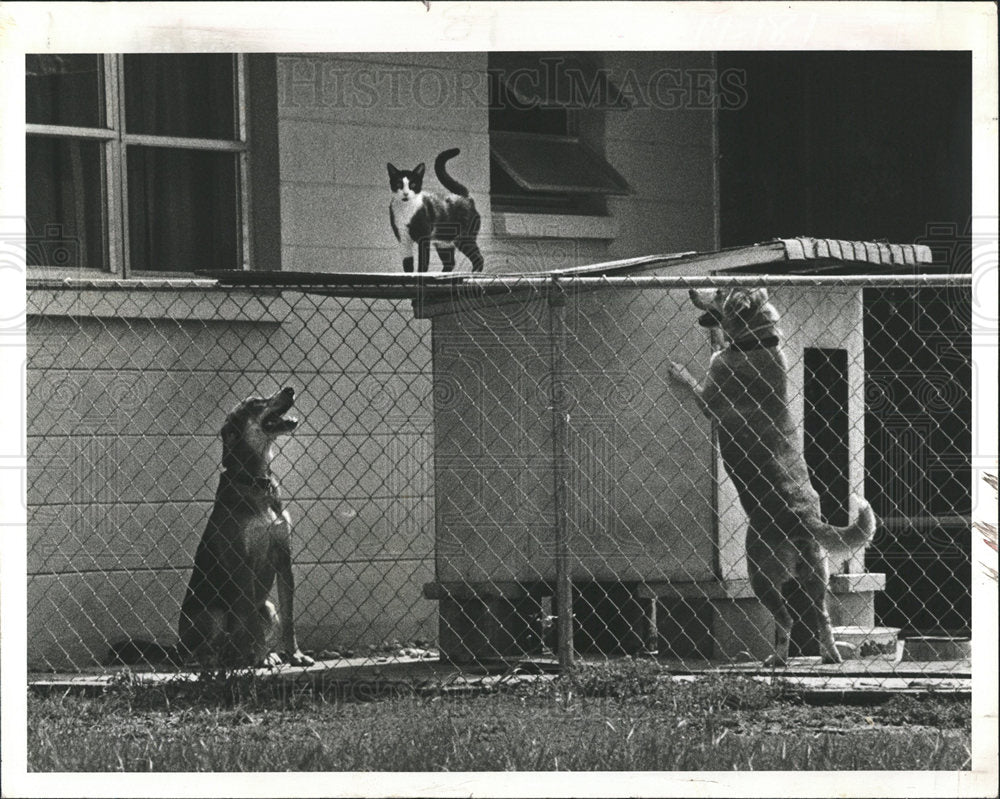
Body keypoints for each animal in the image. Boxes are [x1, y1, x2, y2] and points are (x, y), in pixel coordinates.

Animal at [672, 290, 876, 664]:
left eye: (719, 293)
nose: (692, 291)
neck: (758, 342)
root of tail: (803, 518)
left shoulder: (709, 400)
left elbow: (693, 383)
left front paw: (678, 370)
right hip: (816, 578)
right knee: (820, 617)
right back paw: (830, 655)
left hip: (760, 575)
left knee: (785, 617)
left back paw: (779, 658)